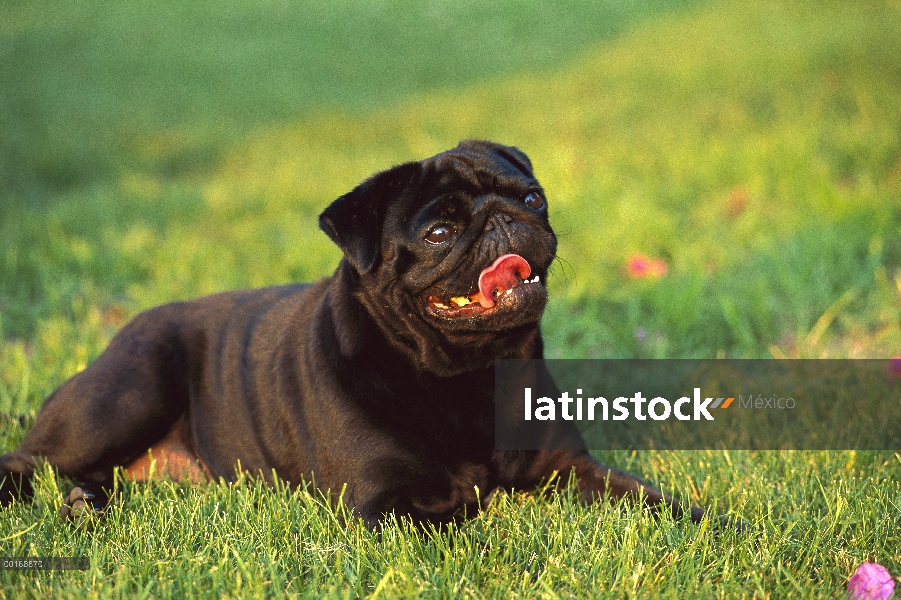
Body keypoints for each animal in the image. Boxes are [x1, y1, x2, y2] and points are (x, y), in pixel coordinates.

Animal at [0, 139, 704, 524]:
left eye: (532, 200)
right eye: (439, 232)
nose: (505, 219)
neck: (464, 375)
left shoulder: (569, 468)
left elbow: (650, 499)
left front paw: (709, 524)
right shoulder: (387, 501)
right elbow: (463, 513)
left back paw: (87, 503)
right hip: (130, 390)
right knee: (31, 458)